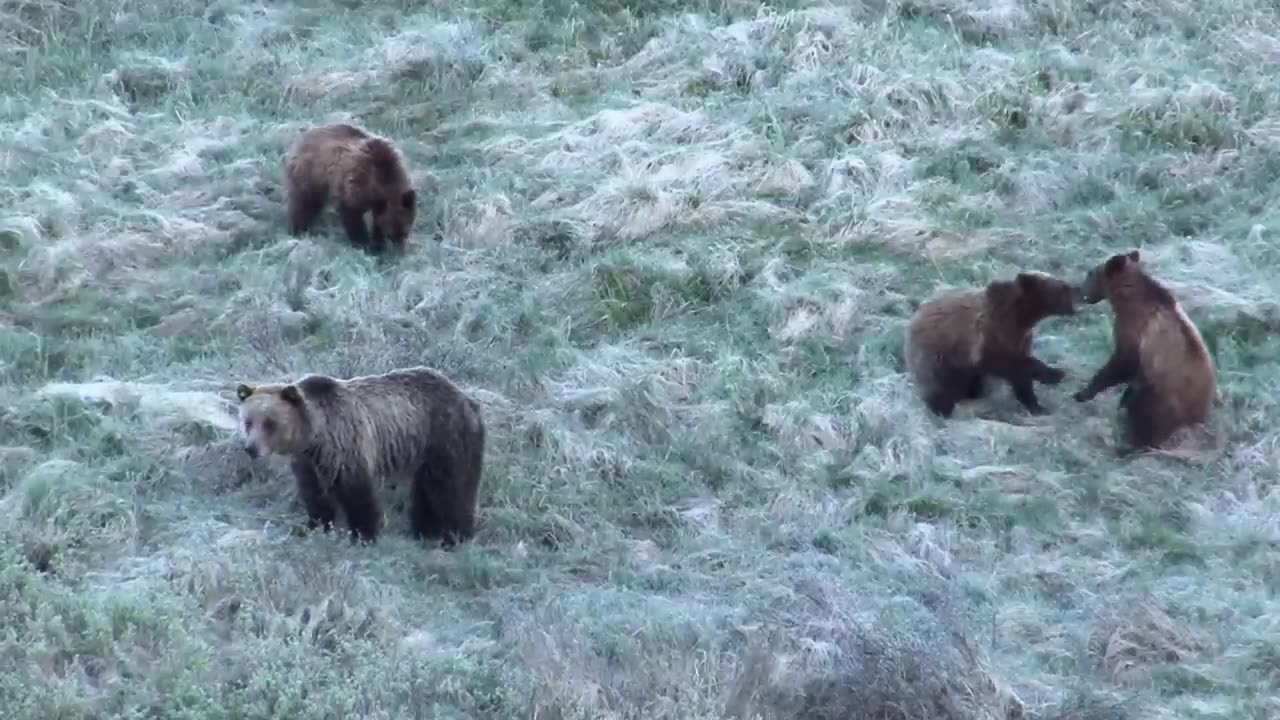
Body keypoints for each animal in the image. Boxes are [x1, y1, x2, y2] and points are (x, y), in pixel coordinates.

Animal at [235, 363, 483, 543]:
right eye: (248, 422)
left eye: (270, 423)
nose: (250, 448)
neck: (314, 436)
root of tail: (467, 398)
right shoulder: (307, 463)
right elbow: (315, 496)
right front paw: (315, 526)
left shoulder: (346, 445)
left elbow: (357, 494)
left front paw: (363, 534)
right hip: (425, 453)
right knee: (427, 491)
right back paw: (425, 531)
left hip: (446, 437)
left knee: (452, 489)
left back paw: (456, 535)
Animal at [284, 124, 414, 254]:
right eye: (390, 235)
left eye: (405, 233)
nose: (400, 252)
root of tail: (301, 139)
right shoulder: (354, 184)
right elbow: (351, 215)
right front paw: (363, 244)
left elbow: (377, 219)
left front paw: (378, 244)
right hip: (308, 175)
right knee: (302, 203)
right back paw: (298, 230)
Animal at [906, 269, 1075, 415]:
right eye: (1063, 287)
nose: (1075, 290)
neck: (1021, 318)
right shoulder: (990, 332)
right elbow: (1002, 360)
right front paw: (1055, 374)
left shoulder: (1019, 338)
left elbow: (1020, 375)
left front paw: (1036, 406)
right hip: (937, 357)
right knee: (940, 386)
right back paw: (942, 410)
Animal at [1064, 249, 1213, 445]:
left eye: (1090, 273)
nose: (1079, 291)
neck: (1127, 298)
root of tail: (1196, 420)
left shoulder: (1134, 331)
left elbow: (1121, 363)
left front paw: (1083, 393)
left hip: (1162, 398)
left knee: (1144, 413)